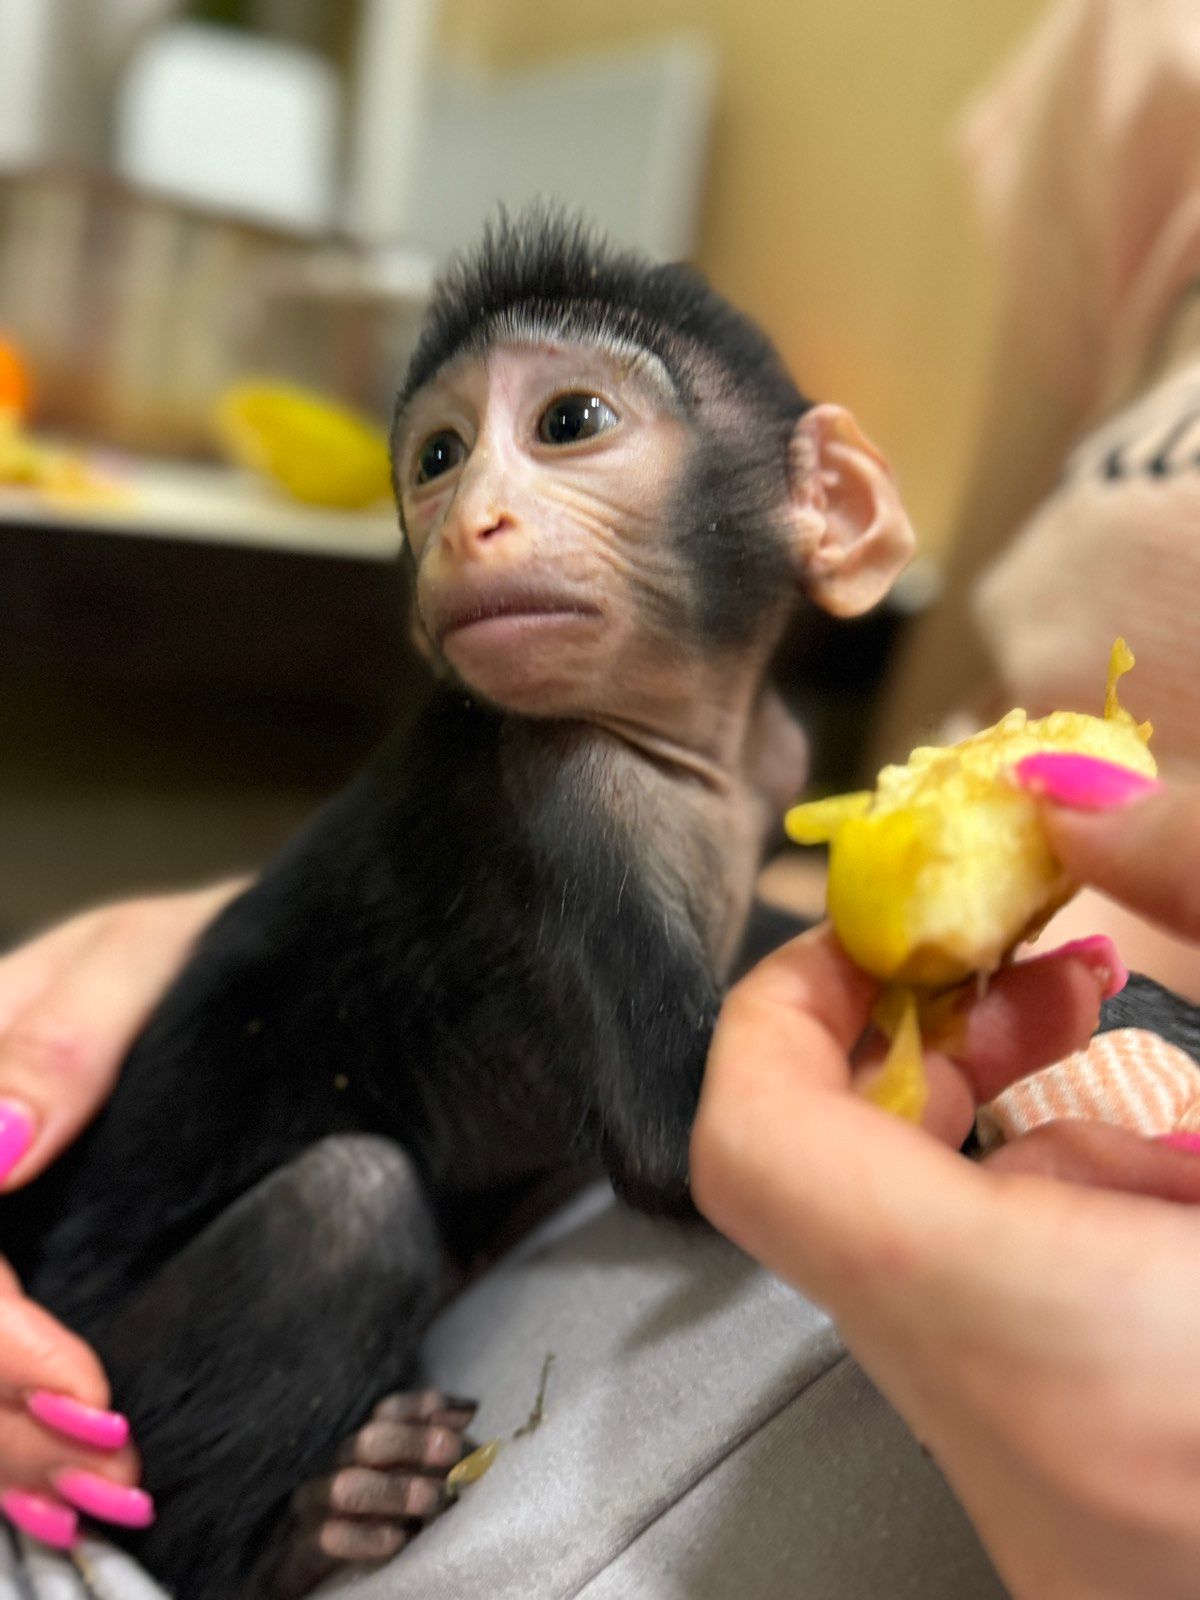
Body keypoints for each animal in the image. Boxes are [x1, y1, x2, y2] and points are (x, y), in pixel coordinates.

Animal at [0, 212, 915, 1600]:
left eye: (570, 421)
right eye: (437, 457)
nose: (468, 521)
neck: (687, 748)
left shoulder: (772, 755)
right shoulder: (569, 800)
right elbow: (686, 1144)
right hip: (101, 1385)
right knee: (344, 1203)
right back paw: (312, 1527)